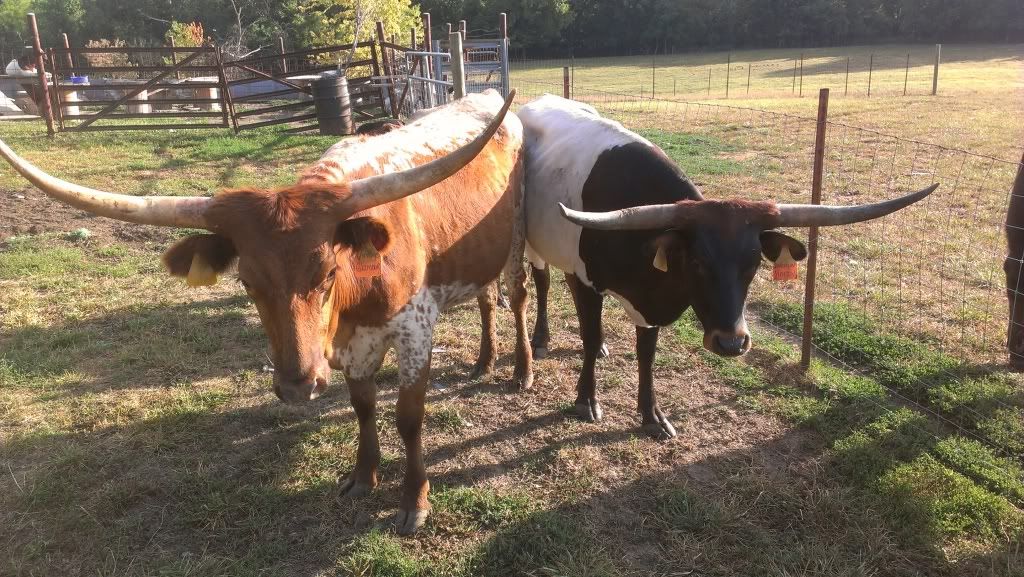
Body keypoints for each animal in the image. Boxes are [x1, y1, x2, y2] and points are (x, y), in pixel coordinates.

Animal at [0, 89, 531, 534]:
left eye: (328, 273)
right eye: (246, 282)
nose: (298, 386)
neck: (352, 302)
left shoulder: (415, 330)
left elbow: (408, 416)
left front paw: (413, 502)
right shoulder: (352, 345)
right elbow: (362, 406)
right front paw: (363, 477)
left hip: (517, 241)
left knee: (519, 296)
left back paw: (521, 369)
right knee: (486, 299)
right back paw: (484, 360)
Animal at [519, 94, 936, 440]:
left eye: (753, 263)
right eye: (697, 261)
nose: (732, 343)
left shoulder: (648, 304)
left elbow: (645, 354)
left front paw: (652, 415)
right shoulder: (587, 282)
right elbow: (588, 338)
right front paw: (586, 400)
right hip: (533, 245)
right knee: (542, 281)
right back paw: (541, 338)